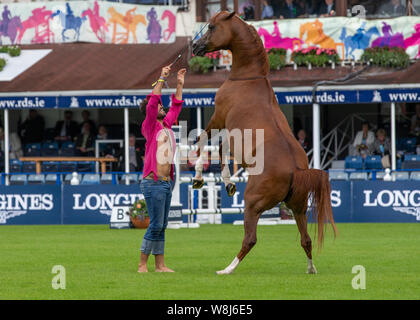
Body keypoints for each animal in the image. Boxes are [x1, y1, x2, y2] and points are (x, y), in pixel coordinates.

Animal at [192, 11, 336, 274]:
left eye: (212, 26)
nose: (195, 46)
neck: (248, 78)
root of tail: (296, 170)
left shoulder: (218, 118)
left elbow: (204, 143)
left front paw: (198, 177)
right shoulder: (231, 135)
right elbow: (220, 150)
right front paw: (228, 184)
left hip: (253, 204)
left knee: (250, 239)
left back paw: (227, 269)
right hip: (298, 208)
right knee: (306, 240)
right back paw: (311, 269)